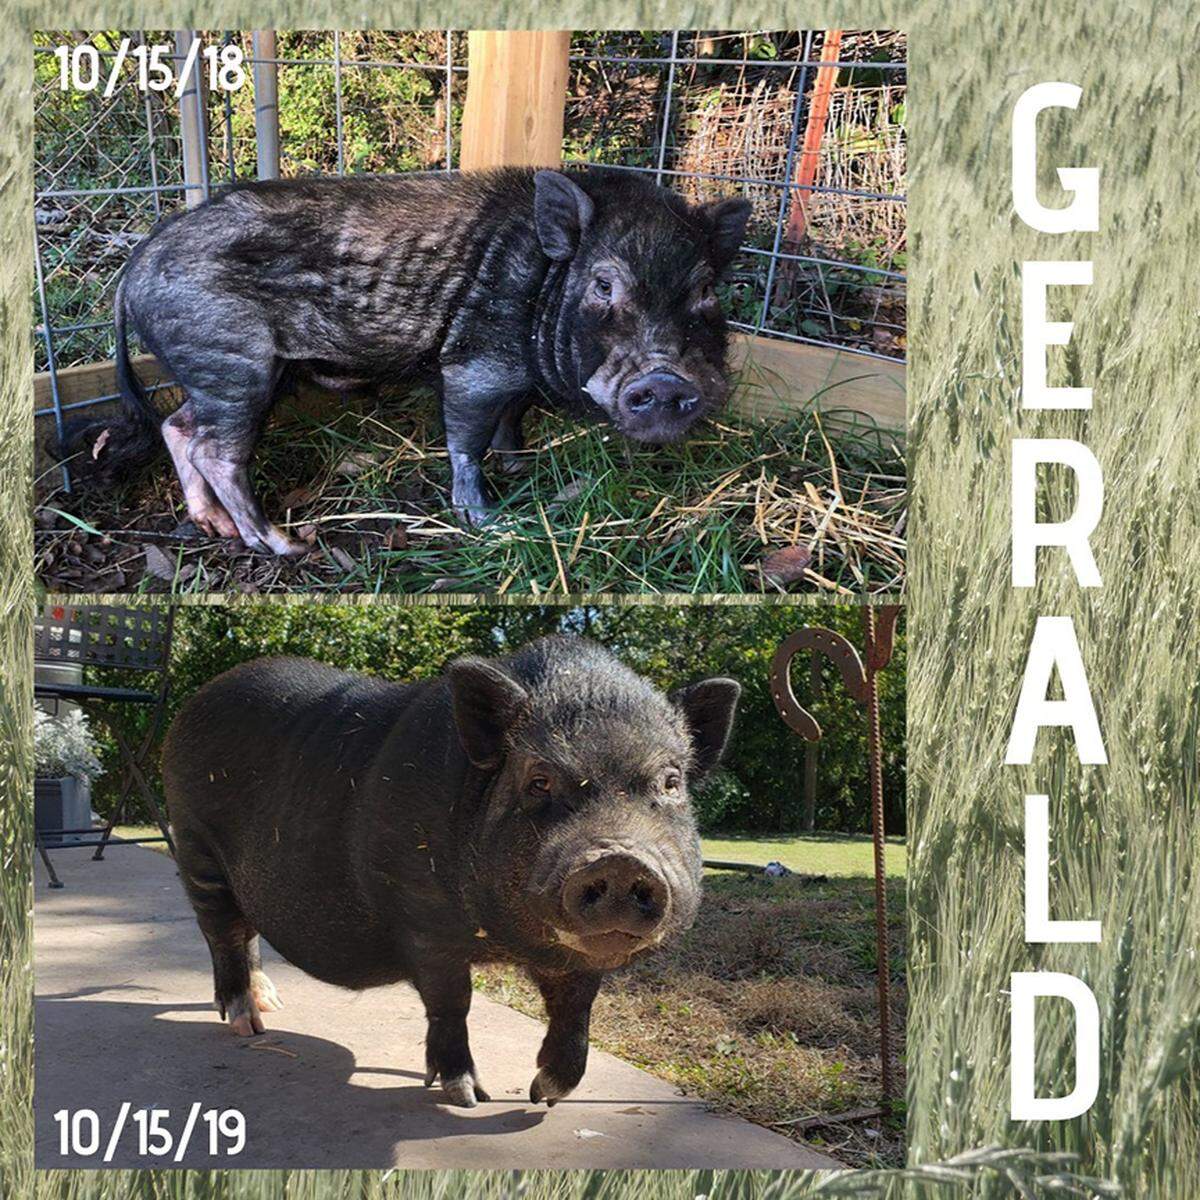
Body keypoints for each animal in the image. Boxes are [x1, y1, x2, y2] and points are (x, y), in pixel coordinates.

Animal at [63, 168, 752, 554]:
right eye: (605, 286)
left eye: (705, 291)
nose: (663, 378)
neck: (541, 287)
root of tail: (131, 271)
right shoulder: (474, 363)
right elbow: (466, 438)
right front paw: (486, 520)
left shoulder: (516, 382)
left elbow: (513, 422)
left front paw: (521, 468)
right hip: (233, 362)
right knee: (215, 448)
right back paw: (284, 544)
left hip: (213, 370)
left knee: (177, 426)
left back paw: (215, 529)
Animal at [162, 635, 740, 1107]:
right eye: (539, 780)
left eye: (670, 782)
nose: (620, 860)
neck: (503, 941)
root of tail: (189, 708)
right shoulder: (422, 918)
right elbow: (452, 1002)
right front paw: (468, 1096)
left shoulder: (576, 959)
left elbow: (577, 1011)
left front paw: (543, 1096)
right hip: (195, 844)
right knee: (223, 934)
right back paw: (249, 1025)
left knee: (246, 931)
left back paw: (271, 1004)